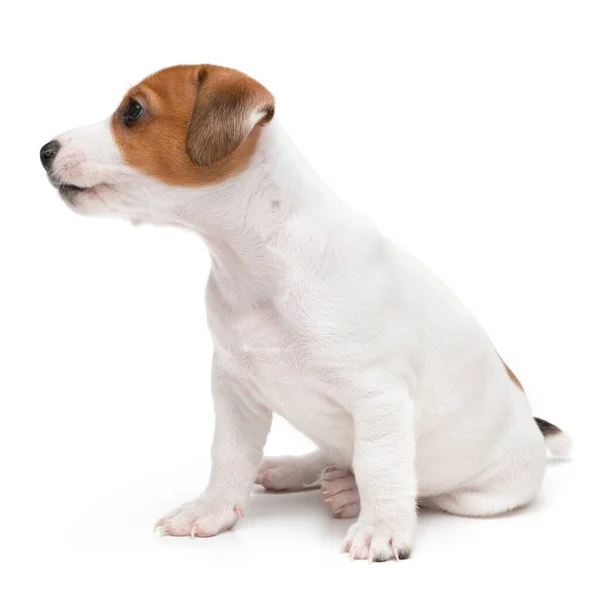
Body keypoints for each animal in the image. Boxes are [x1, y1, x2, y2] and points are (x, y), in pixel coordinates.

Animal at [39, 63, 568, 560]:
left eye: (133, 111)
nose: (44, 150)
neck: (260, 265)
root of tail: (532, 427)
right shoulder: (233, 388)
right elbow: (228, 455)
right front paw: (211, 510)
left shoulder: (378, 397)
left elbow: (380, 466)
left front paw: (381, 528)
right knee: (333, 451)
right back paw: (298, 469)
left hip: (479, 496)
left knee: (421, 488)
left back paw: (350, 492)